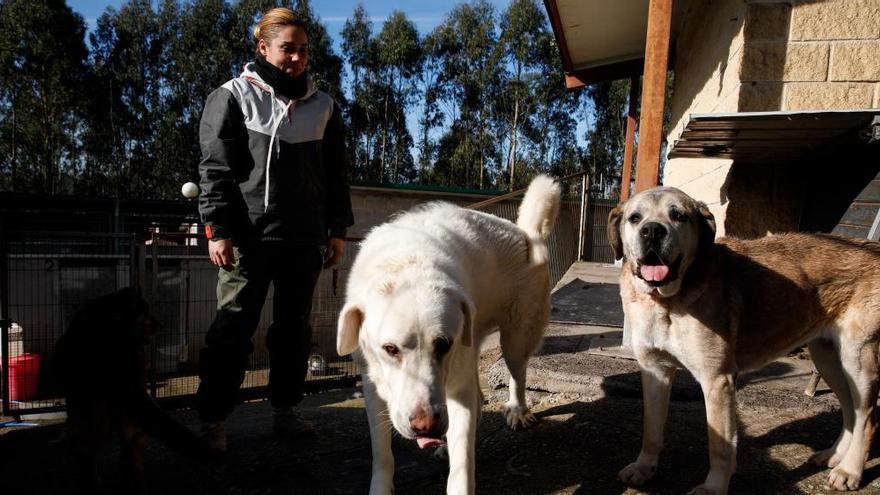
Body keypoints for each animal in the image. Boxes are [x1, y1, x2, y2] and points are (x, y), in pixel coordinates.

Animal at [54, 288, 214, 494]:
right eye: (145, 313)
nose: (161, 325)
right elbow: (87, 450)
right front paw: (90, 481)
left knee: (130, 451)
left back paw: (131, 480)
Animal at [336, 176, 564, 494]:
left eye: (443, 344)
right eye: (390, 349)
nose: (426, 426)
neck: (407, 262)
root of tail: (526, 235)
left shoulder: (458, 384)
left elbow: (462, 465)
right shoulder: (374, 387)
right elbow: (382, 453)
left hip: (515, 339)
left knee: (516, 374)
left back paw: (516, 410)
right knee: (478, 399)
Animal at [608, 187, 880, 495]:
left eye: (678, 215)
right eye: (635, 218)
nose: (652, 230)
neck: (665, 301)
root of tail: (871, 246)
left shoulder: (718, 380)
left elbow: (720, 446)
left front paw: (713, 488)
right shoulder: (655, 372)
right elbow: (651, 429)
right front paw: (644, 468)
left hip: (857, 359)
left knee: (868, 417)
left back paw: (850, 470)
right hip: (828, 358)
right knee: (851, 411)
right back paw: (834, 456)